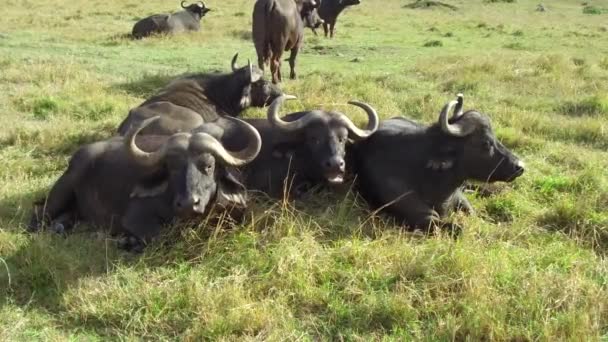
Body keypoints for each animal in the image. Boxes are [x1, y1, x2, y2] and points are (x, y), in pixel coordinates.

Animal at [28, 115, 262, 251]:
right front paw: (127, 241)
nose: (188, 203)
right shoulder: (134, 218)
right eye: (172, 167)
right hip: (61, 191)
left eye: (209, 166)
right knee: (39, 215)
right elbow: (161, 237)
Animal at [354, 95, 524, 231]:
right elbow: (457, 228)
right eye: (485, 143)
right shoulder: (418, 214)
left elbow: (473, 213)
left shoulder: (459, 197)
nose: (520, 166)